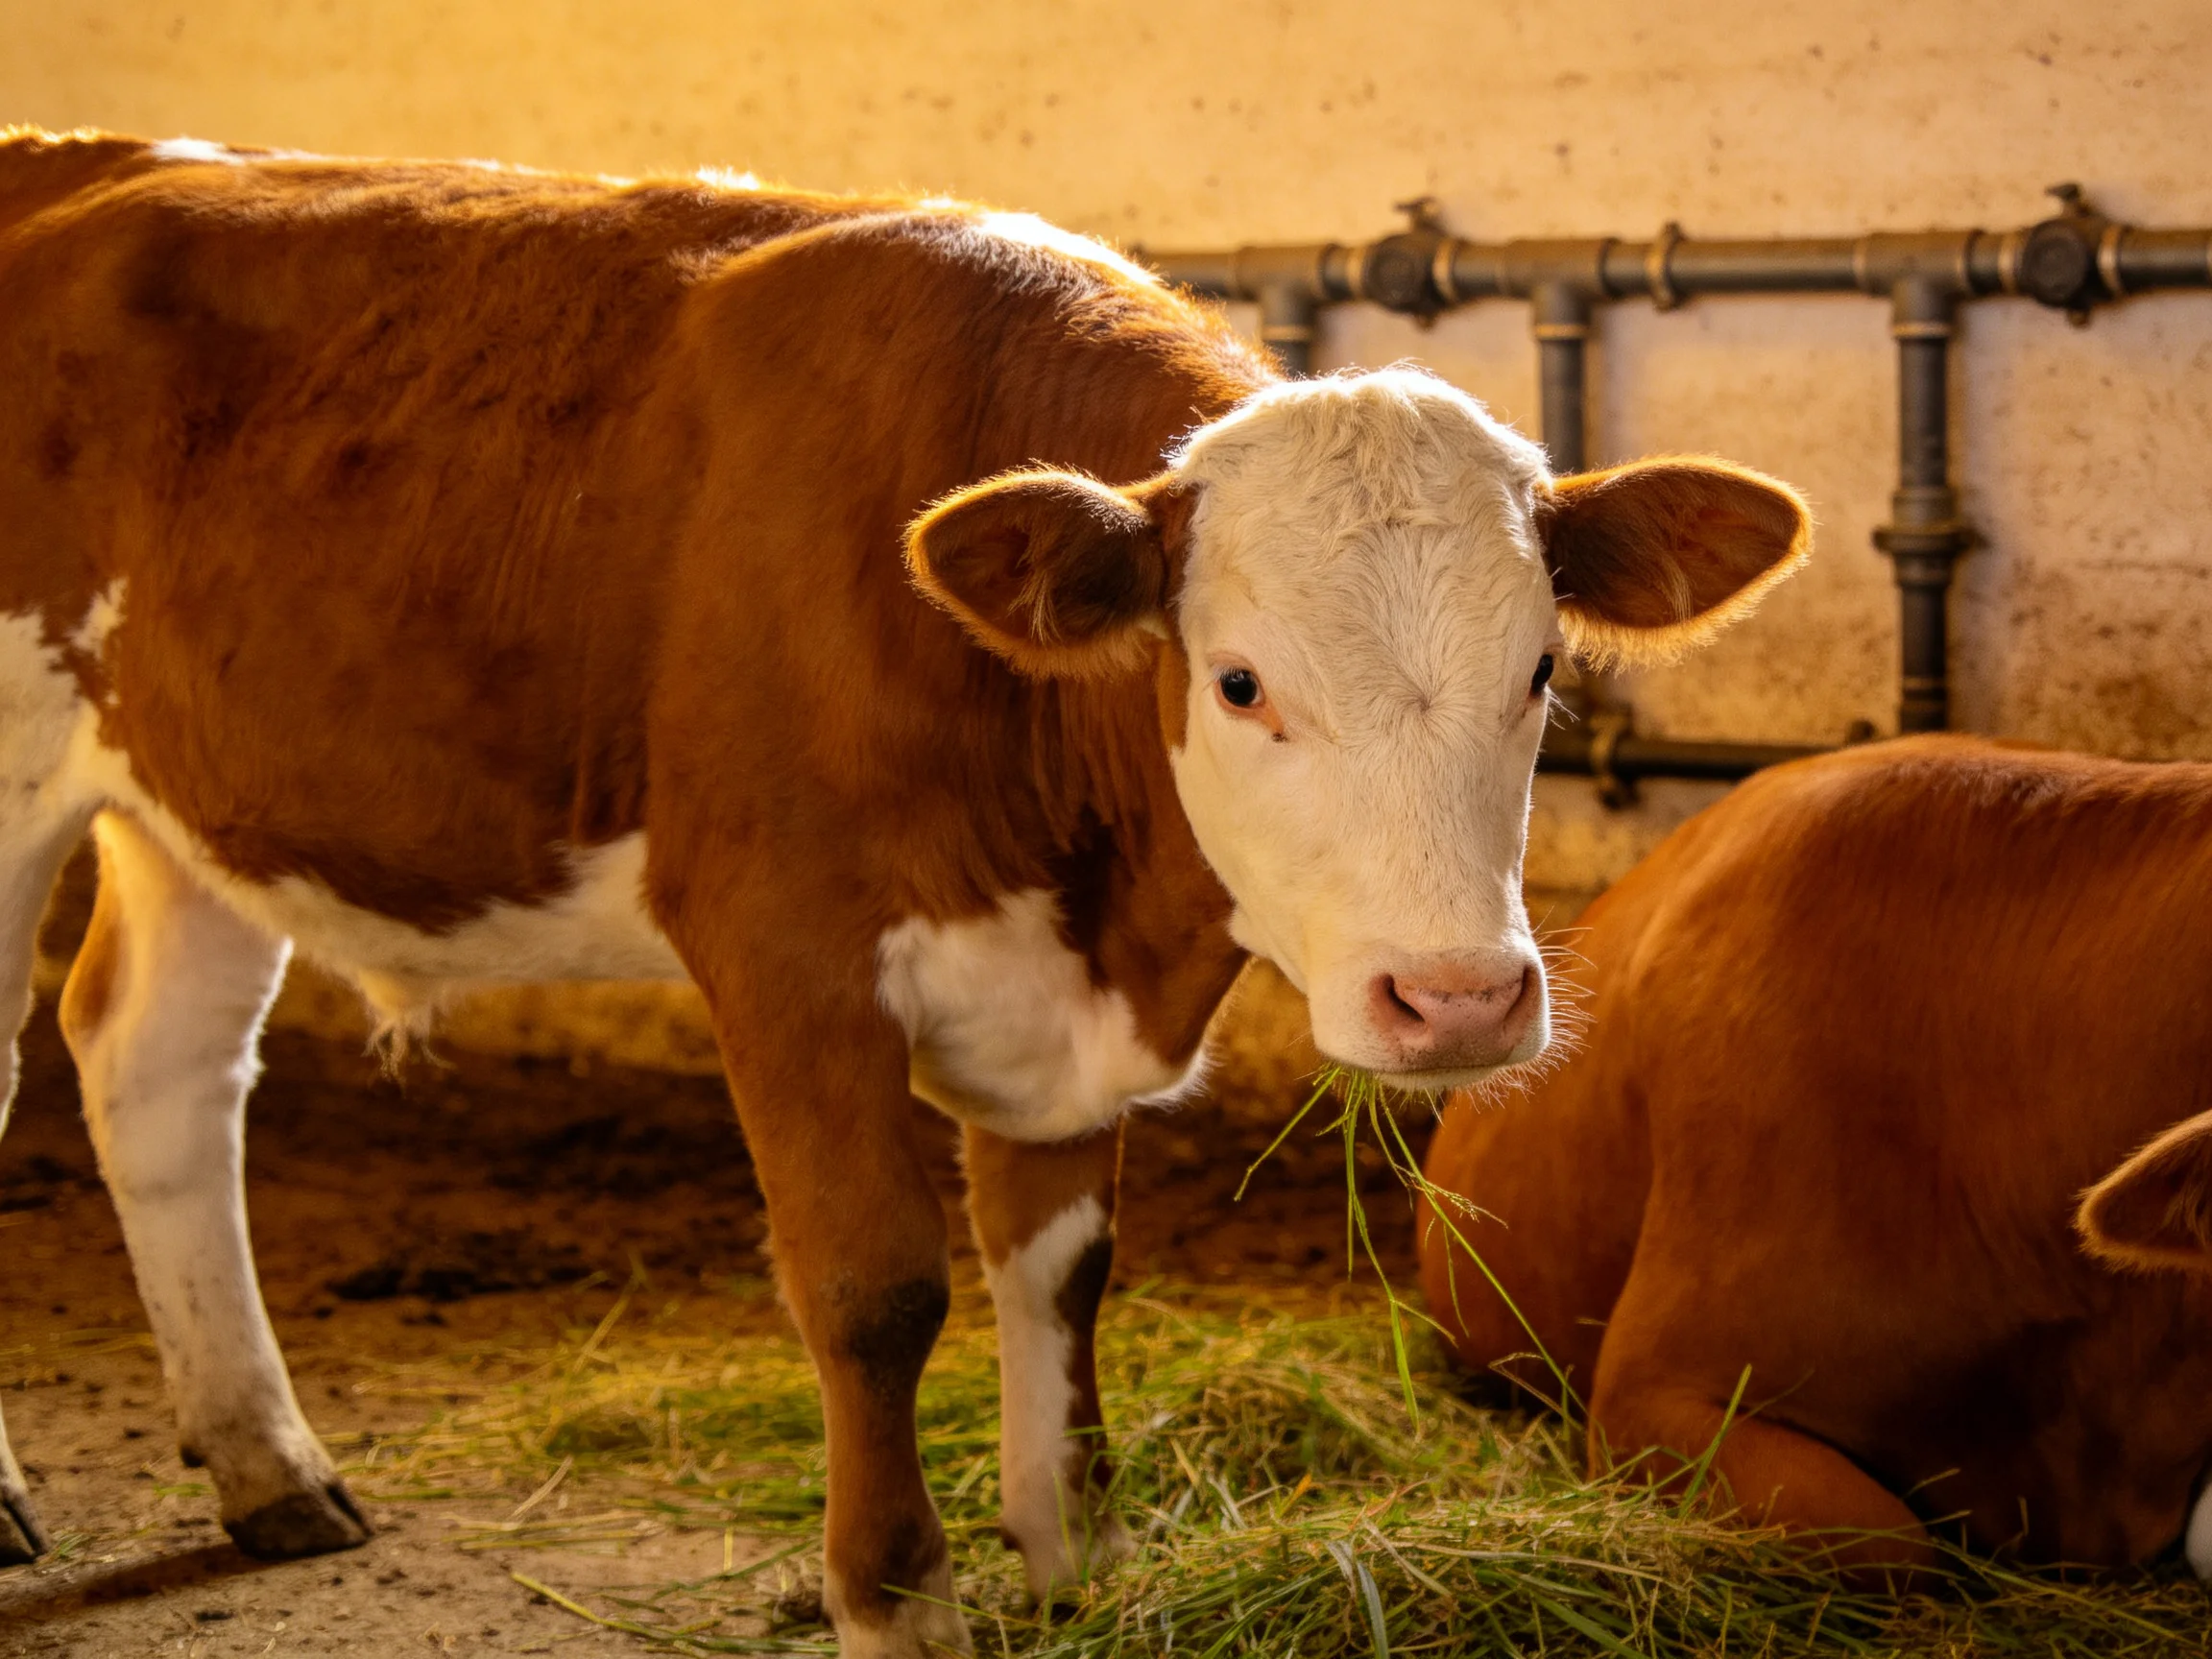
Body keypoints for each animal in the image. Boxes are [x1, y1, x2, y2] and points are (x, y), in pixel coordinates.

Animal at [0, 127, 1809, 1655]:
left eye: (1539, 670)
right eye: (1237, 683)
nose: (1457, 1002)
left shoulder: (1062, 995)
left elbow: (1059, 1258)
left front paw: (1077, 1555)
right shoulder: (785, 947)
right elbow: (874, 1288)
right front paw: (893, 1597)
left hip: (197, 801)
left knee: (154, 1069)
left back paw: (269, 1465)